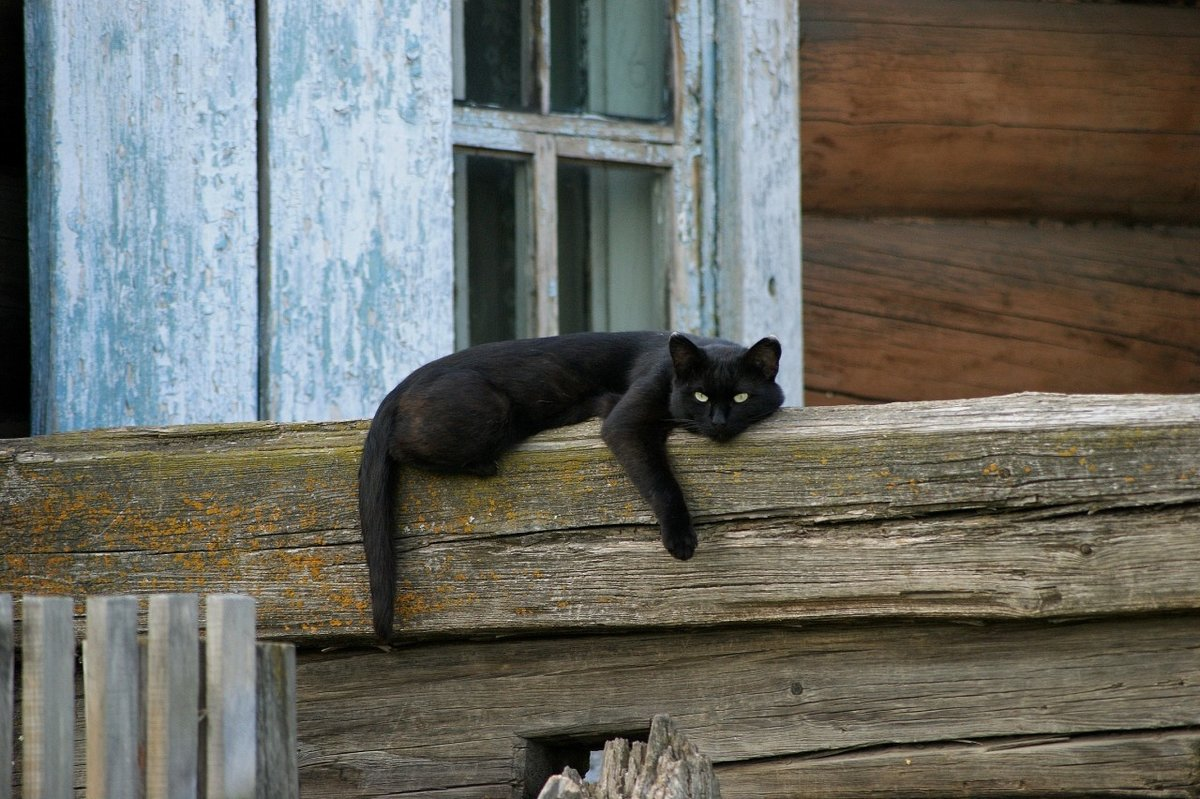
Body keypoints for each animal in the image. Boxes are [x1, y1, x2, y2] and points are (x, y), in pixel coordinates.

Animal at [355, 328, 787, 633]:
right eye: (699, 396)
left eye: (742, 398)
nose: (718, 422)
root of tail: (399, 388)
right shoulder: (625, 423)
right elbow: (660, 481)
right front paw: (680, 539)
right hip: (491, 409)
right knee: (400, 446)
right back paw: (482, 465)